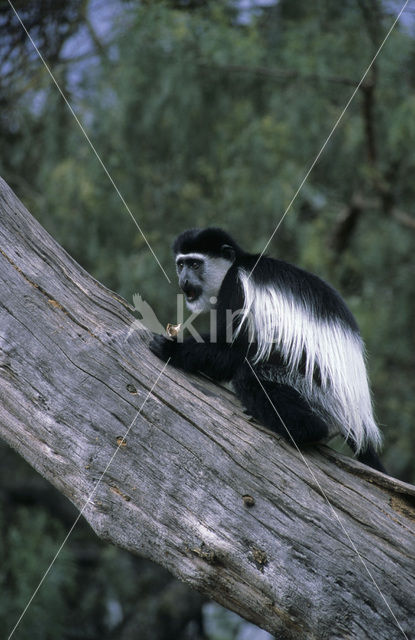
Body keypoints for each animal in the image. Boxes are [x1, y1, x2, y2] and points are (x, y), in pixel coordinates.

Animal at [150, 228, 386, 472]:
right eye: (181, 265)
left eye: (196, 264)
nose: (184, 280)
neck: (235, 265)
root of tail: (355, 413)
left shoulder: (237, 288)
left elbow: (231, 351)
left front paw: (171, 349)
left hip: (317, 393)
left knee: (250, 376)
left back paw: (305, 430)